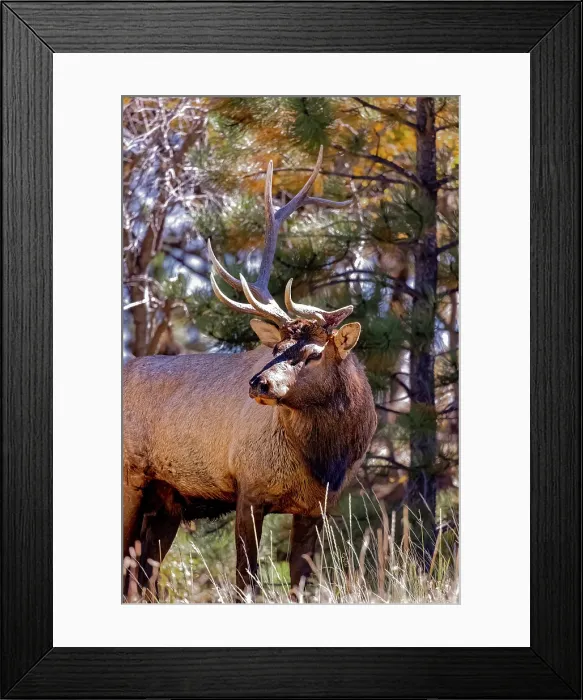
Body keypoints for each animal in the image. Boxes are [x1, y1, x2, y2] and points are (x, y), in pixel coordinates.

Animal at [123, 147, 377, 601]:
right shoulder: (248, 488)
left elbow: (301, 585)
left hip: (166, 499)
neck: (325, 460)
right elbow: (246, 583)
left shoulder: (317, 508)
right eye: (275, 349)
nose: (259, 382)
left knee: (142, 577)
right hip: (129, 478)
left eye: (314, 354)